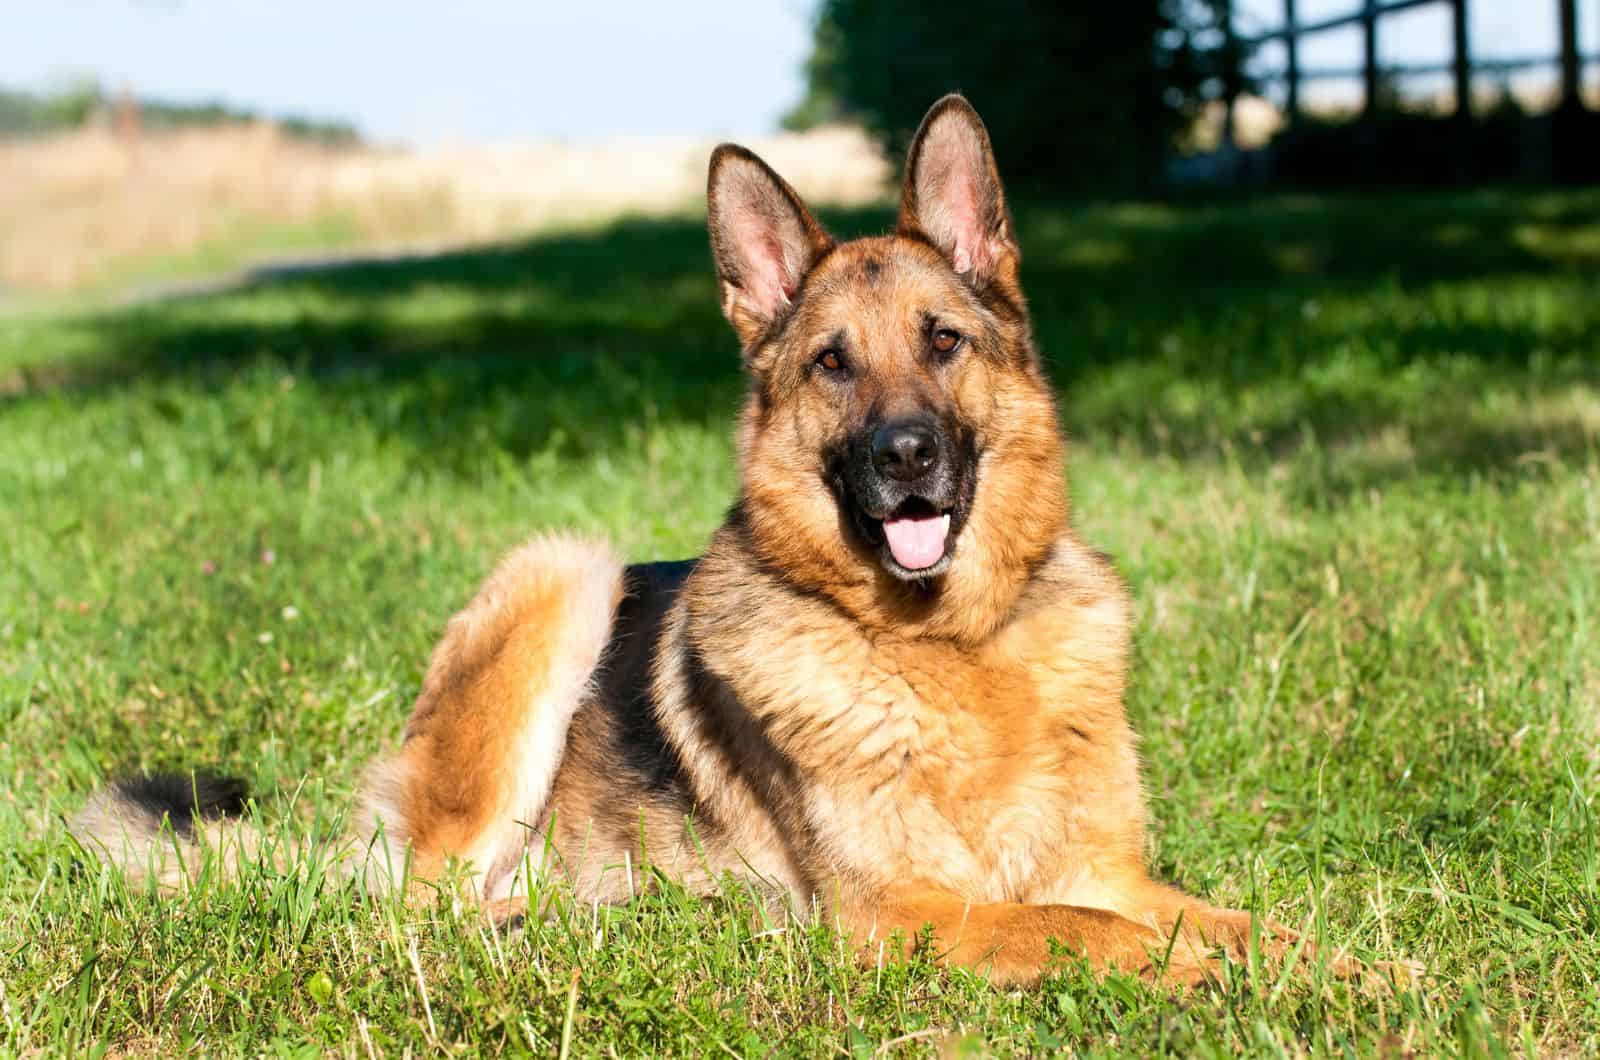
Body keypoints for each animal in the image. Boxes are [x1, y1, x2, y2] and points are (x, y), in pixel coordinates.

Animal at [75, 95, 1312, 992]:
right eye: (832, 363)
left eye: (943, 342)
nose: (906, 455)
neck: (946, 648)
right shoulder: (900, 914)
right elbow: (1077, 928)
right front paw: (1196, 971)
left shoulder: (1111, 869)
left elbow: (1242, 919)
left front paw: (1331, 969)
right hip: (560, 576)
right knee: (425, 902)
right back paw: (584, 922)